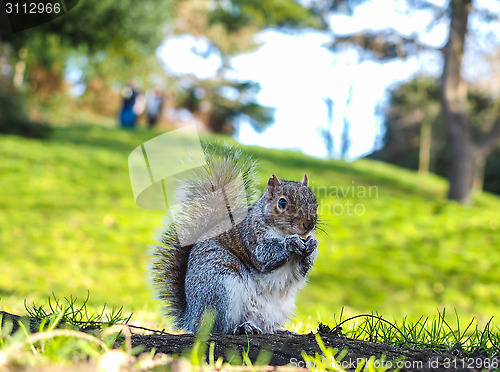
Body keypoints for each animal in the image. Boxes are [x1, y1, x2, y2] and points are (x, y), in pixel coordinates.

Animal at [150, 145, 320, 334]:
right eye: (282, 203)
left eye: (315, 202)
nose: (308, 225)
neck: (281, 231)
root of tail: (192, 318)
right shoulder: (251, 236)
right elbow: (264, 256)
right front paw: (291, 242)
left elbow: (303, 269)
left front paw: (312, 244)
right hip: (218, 290)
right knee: (219, 328)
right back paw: (241, 327)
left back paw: (281, 330)